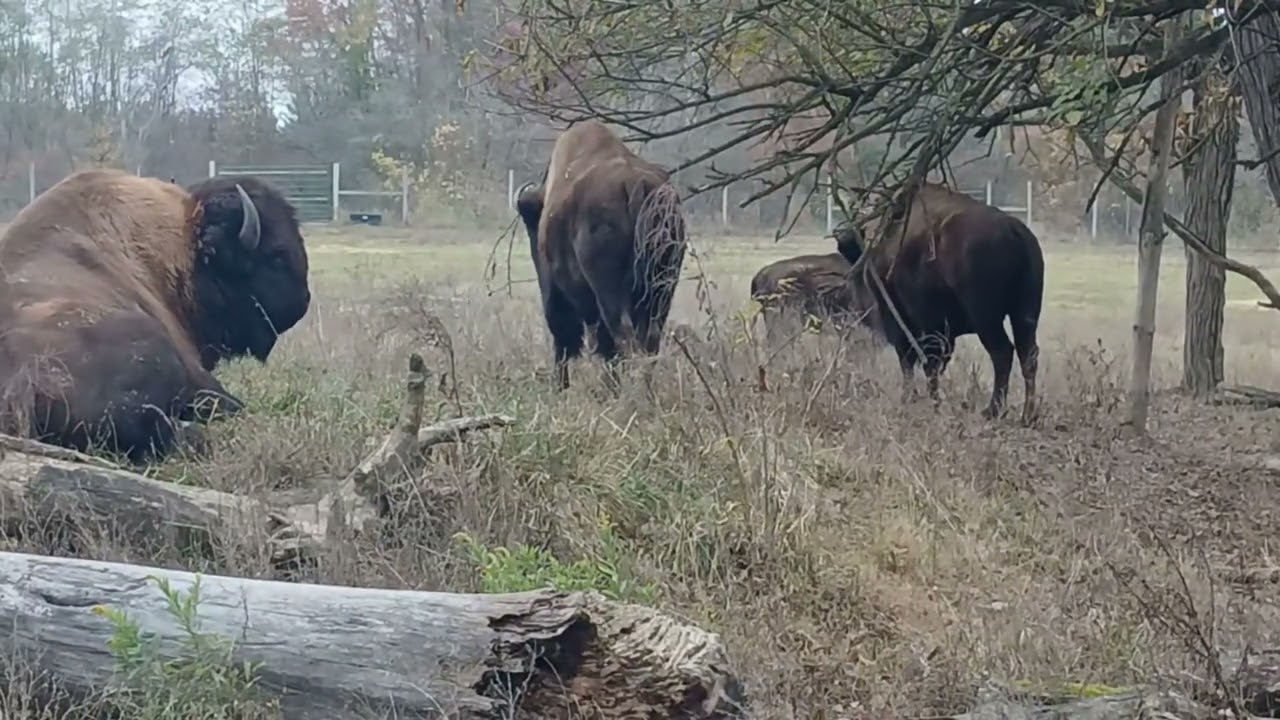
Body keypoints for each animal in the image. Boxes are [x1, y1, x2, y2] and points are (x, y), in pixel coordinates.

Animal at [515, 120, 688, 390]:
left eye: (529, 221)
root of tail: (636, 185)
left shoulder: (555, 293)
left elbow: (563, 339)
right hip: (663, 287)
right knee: (648, 339)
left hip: (608, 290)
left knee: (620, 336)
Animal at [838, 183, 1043, 423]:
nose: (843, 240)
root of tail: (1015, 229)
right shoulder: (940, 329)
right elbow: (932, 363)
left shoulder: (904, 320)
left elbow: (913, 360)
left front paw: (913, 398)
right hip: (1026, 314)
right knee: (1028, 354)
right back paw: (1028, 415)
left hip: (986, 319)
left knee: (1002, 352)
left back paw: (992, 410)